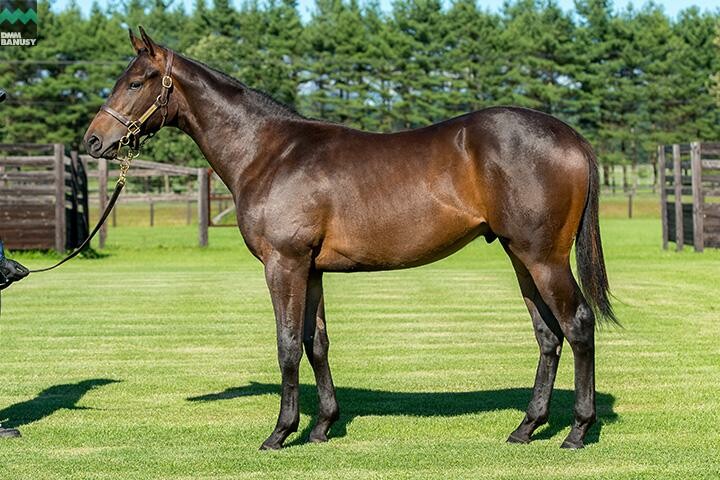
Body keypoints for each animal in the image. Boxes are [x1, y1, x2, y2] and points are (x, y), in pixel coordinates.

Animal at [84, 28, 616, 451]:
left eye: (136, 82)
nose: (93, 140)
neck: (270, 152)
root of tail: (569, 136)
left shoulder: (284, 264)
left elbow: (287, 344)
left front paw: (281, 432)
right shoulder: (311, 269)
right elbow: (316, 343)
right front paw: (322, 427)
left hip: (544, 258)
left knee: (577, 325)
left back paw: (577, 431)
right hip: (520, 257)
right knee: (548, 335)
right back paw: (527, 427)